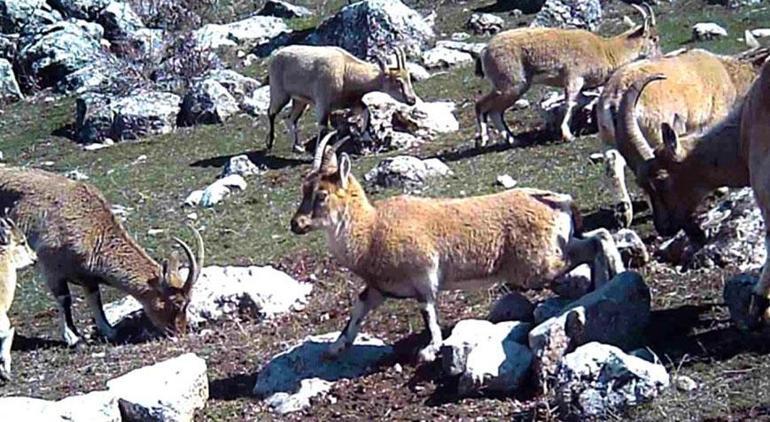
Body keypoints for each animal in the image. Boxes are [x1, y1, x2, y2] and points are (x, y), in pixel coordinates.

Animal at [268, 45, 416, 153]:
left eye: (408, 77)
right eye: (398, 81)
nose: (412, 100)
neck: (346, 71)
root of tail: (275, 55)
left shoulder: (353, 102)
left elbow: (366, 112)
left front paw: (365, 137)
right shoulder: (323, 103)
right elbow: (323, 128)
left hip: (300, 101)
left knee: (290, 119)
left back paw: (297, 147)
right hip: (280, 93)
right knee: (271, 112)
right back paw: (270, 143)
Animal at [290, 133, 624, 362]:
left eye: (321, 195)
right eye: (303, 189)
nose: (296, 224)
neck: (371, 231)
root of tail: (563, 201)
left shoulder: (423, 275)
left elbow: (427, 311)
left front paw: (430, 349)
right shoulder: (380, 287)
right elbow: (358, 308)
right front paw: (336, 347)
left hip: (539, 263)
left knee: (596, 241)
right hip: (557, 246)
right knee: (599, 237)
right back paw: (605, 283)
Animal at [474, 3, 660, 147]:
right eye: (654, 38)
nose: (658, 58)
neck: (605, 51)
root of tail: (485, 50)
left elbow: (582, 101)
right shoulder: (574, 78)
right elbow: (569, 103)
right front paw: (567, 135)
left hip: (512, 87)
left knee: (494, 111)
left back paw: (513, 141)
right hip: (511, 85)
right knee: (482, 105)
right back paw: (484, 139)